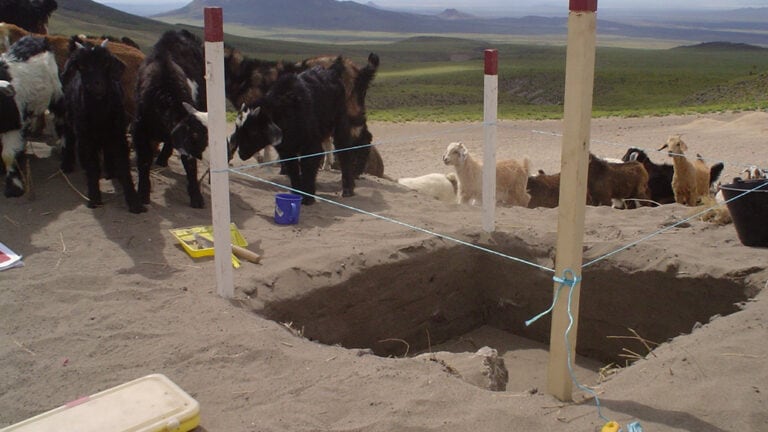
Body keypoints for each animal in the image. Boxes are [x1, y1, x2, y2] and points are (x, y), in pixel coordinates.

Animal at [60, 38, 146, 213]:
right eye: (82, 66)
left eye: (106, 63)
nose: (97, 85)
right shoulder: (86, 138)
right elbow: (92, 167)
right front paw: (94, 198)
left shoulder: (118, 134)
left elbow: (123, 165)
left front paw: (134, 202)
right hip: (69, 116)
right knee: (69, 136)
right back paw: (67, 164)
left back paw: (110, 170)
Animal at [133, 28, 208, 208]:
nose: (200, 153)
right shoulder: (139, 129)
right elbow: (143, 160)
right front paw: (142, 195)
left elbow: (190, 165)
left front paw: (196, 197)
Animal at [230, 57, 358, 206]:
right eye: (238, 129)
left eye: (254, 131)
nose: (241, 153)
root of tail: (331, 72)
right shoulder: (286, 150)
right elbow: (293, 169)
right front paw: (297, 193)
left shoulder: (311, 146)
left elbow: (308, 166)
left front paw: (308, 198)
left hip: (340, 123)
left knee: (344, 151)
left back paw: (348, 189)